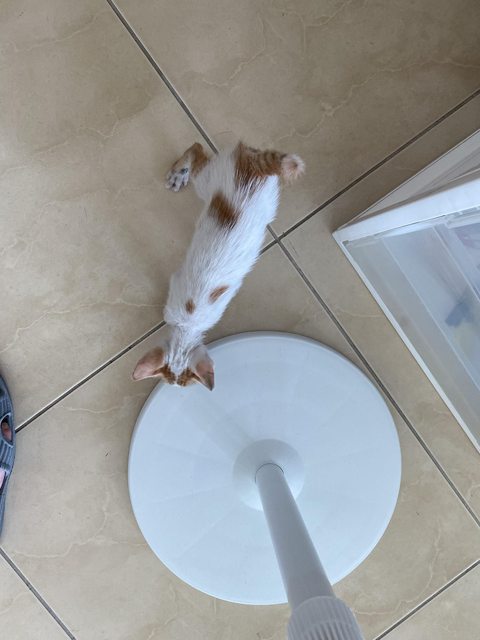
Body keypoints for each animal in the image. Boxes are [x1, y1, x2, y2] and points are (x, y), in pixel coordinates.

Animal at [132, 141, 305, 389]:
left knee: (196, 150)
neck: (188, 326)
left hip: (209, 180)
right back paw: (180, 173)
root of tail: (256, 166)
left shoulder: (174, 292)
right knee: (197, 147)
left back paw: (179, 174)